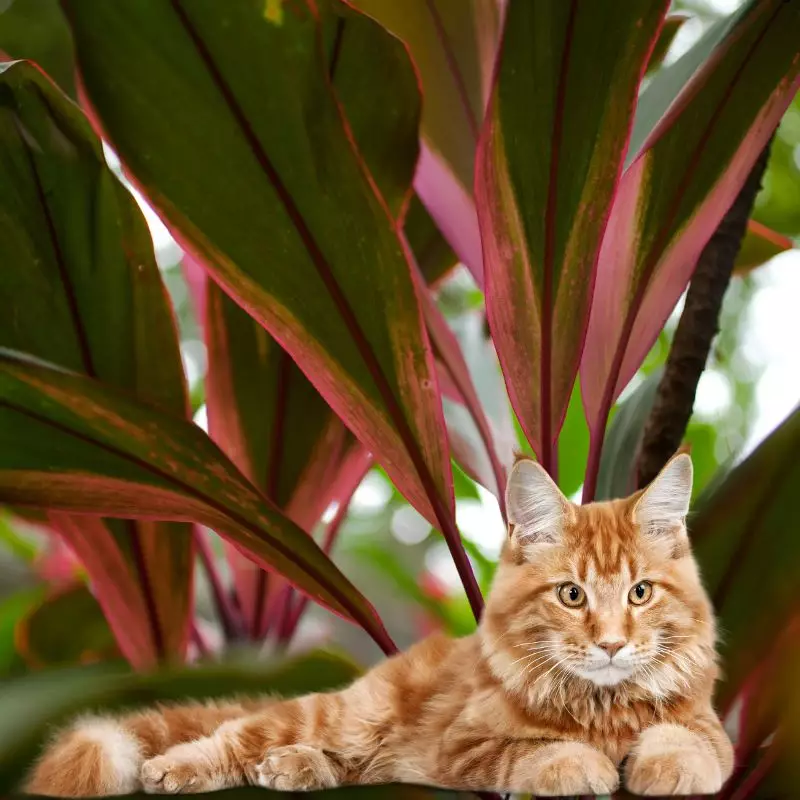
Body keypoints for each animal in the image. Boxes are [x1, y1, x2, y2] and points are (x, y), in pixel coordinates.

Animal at [23, 454, 732, 796]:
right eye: (572, 594)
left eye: (640, 593)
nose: (611, 644)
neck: (600, 709)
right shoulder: (464, 746)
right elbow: (535, 752)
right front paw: (580, 765)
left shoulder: (708, 728)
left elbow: (686, 742)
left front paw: (667, 767)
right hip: (344, 716)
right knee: (229, 736)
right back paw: (175, 769)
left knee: (338, 766)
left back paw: (292, 769)